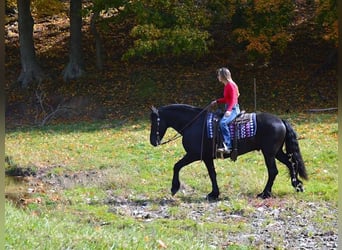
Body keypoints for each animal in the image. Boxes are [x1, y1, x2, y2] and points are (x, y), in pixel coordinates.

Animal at [149, 103, 308, 199]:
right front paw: (214, 193)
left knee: (273, 171)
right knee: (291, 163)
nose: (152, 141)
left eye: (155, 121)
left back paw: (265, 193)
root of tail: (281, 120)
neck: (194, 124)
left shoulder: (193, 155)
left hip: (268, 153)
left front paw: (174, 187)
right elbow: (212, 174)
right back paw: (297, 185)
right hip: (276, 152)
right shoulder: (207, 157)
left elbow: (177, 166)